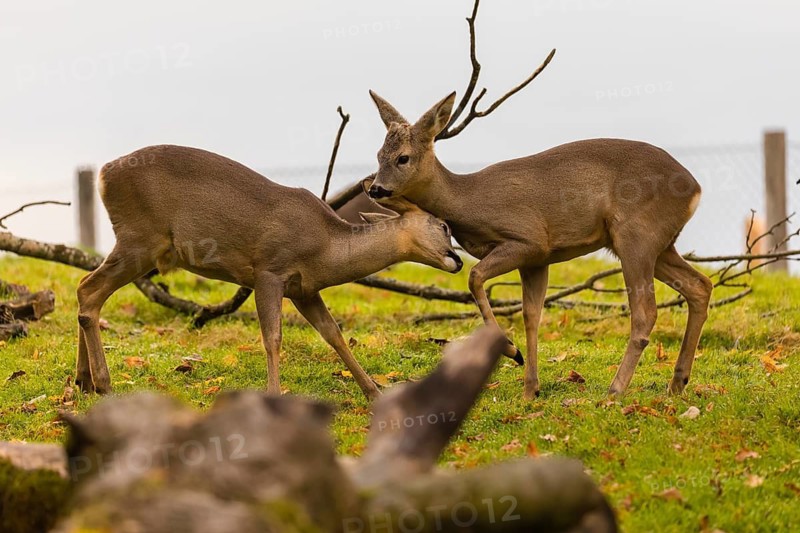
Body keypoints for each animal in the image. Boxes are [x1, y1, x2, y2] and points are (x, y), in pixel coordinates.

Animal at [76, 144, 463, 401]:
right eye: (443, 226)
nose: (457, 261)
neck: (326, 246)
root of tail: (104, 175)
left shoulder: (304, 288)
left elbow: (334, 334)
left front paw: (374, 390)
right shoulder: (268, 270)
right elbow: (272, 338)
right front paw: (274, 394)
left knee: (83, 288)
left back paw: (83, 381)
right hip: (139, 239)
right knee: (90, 291)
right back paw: (104, 383)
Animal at [366, 91, 713, 399]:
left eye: (403, 158)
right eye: (378, 156)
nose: (375, 189)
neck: (468, 199)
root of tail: (695, 188)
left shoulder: (528, 239)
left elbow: (475, 277)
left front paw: (511, 351)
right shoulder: (538, 259)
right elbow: (531, 316)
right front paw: (530, 389)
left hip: (635, 236)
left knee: (646, 312)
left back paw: (616, 390)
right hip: (660, 244)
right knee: (700, 285)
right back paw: (677, 383)